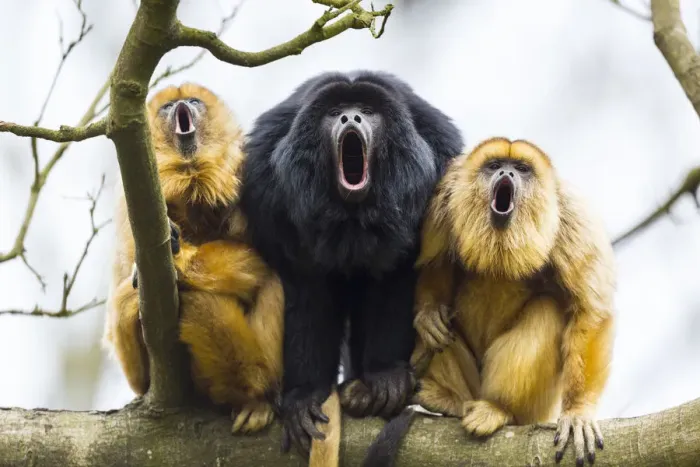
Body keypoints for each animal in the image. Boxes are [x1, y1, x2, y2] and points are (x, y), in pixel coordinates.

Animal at [103, 83, 341, 467]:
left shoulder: (250, 172)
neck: (192, 178)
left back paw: (256, 396)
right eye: (168, 107)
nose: (181, 106)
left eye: (193, 102)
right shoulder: (131, 204)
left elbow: (271, 261)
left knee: (270, 280)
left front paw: (181, 260)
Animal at [240, 70, 464, 456]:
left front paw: (385, 375)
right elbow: (304, 289)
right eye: (334, 113)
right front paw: (305, 395)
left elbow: (397, 279)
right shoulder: (265, 186)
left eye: (367, 112)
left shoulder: (438, 166)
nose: (350, 118)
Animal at [411, 137, 616, 466]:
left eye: (521, 169)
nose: (506, 174)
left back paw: (499, 408)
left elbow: (590, 313)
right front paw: (429, 315)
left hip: (537, 409)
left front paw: (578, 412)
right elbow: (433, 263)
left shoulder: (573, 218)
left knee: (547, 311)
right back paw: (449, 399)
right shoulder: (443, 197)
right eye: (495, 165)